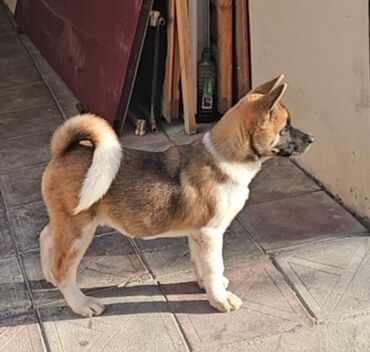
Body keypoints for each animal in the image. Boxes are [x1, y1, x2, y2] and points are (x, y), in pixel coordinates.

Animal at [39, 74, 312, 316]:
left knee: (46, 237)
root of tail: (65, 151)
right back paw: (81, 304)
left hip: (66, 224)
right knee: (64, 268)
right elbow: (214, 266)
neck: (225, 157)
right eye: (285, 128)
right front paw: (220, 299)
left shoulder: (197, 233)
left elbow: (202, 264)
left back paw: (49, 275)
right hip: (79, 230)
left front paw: (207, 286)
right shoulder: (210, 233)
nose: (311, 138)